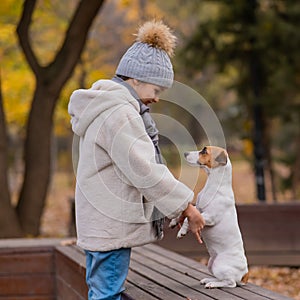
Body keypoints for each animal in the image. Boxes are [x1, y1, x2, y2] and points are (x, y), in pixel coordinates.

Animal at [170, 146, 250, 288]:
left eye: (204, 151)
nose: (185, 153)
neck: (214, 185)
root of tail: (244, 274)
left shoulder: (209, 217)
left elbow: (187, 220)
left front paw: (182, 231)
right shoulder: (197, 209)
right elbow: (185, 212)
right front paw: (174, 221)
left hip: (220, 265)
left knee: (230, 283)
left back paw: (212, 284)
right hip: (211, 264)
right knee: (222, 279)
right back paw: (208, 280)